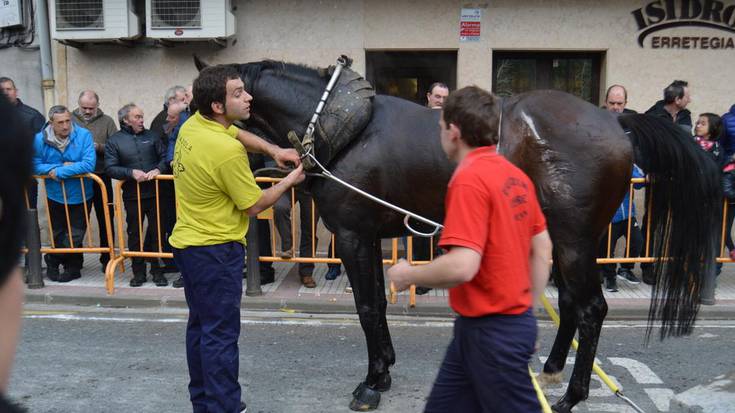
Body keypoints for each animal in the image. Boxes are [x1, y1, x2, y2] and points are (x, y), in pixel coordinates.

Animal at [194, 56, 720, 410]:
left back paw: (572, 395)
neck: (347, 127)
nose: (193, 127)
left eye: (213, 97)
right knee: (573, 304)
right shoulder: (367, 238)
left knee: (591, 308)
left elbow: (368, 307)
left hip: (576, 239)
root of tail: (614, 118)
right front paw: (385, 369)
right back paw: (552, 369)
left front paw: (371, 382)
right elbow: (378, 303)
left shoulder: (353, 236)